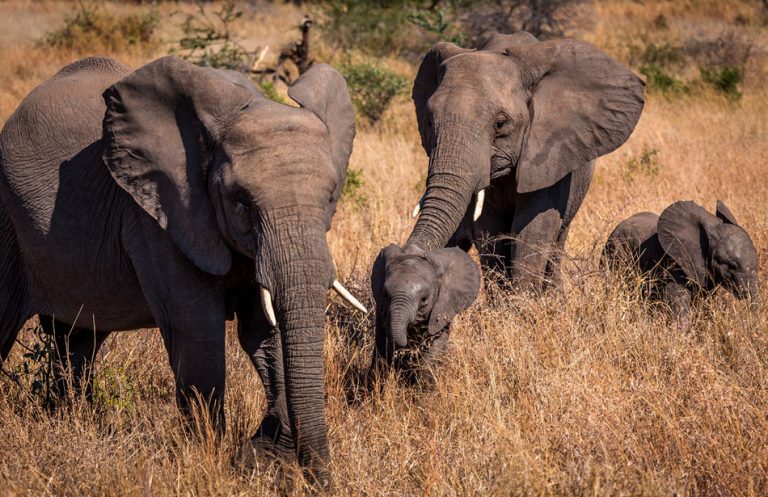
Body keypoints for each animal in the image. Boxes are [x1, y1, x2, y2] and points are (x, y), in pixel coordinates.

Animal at [0, 55, 368, 484]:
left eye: (330, 198)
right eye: (240, 202)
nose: (321, 482)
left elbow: (265, 332)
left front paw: (257, 459)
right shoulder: (158, 216)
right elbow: (197, 331)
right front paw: (210, 460)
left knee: (76, 340)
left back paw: (70, 422)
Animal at [408, 31, 640, 290]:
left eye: (500, 124)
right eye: (429, 121)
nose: (410, 255)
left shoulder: (551, 154)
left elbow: (533, 230)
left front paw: (524, 298)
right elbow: (490, 230)